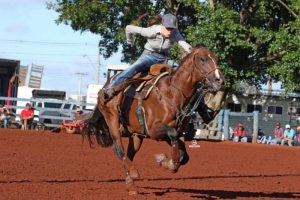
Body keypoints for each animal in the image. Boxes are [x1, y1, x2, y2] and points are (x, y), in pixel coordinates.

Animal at [81, 46, 223, 195]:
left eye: (216, 59)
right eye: (203, 59)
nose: (220, 81)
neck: (172, 93)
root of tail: (105, 87)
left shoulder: (176, 133)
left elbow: (183, 155)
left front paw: (167, 162)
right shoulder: (154, 131)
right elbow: (173, 136)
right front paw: (166, 162)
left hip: (137, 135)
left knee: (129, 154)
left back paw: (130, 183)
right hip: (112, 119)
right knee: (119, 150)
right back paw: (133, 175)